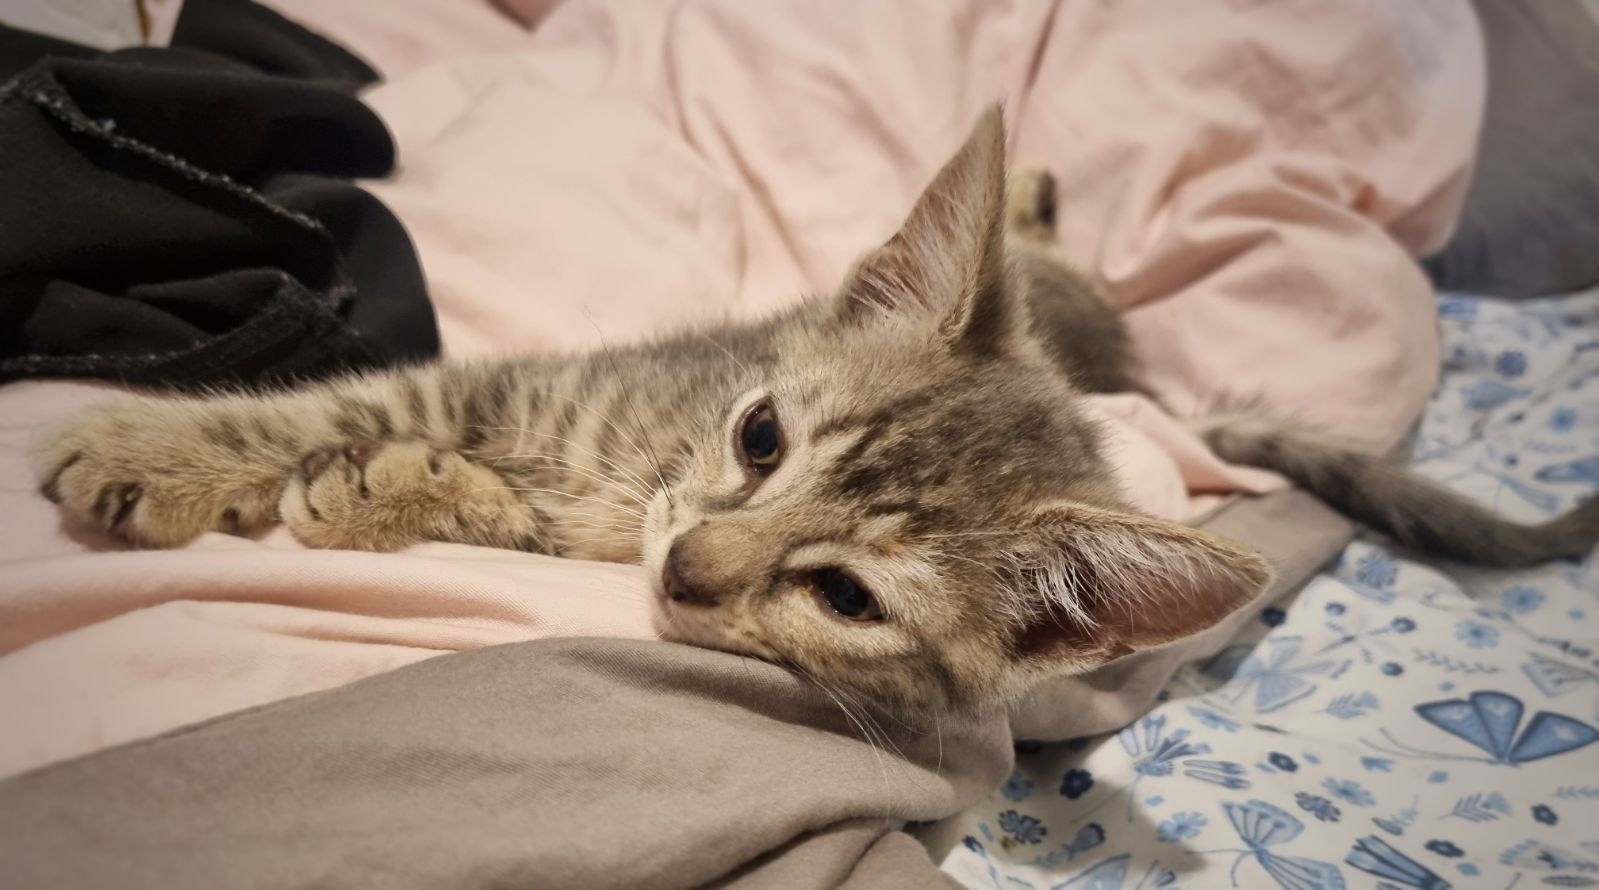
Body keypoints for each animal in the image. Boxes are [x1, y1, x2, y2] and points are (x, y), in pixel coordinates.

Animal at [31, 107, 1599, 721]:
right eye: (761, 440)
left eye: (844, 595)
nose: (685, 566)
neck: (646, 467)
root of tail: (1131, 373)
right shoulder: (509, 384)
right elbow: (350, 388)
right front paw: (152, 442)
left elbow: (471, 491)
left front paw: (389, 489)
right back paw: (1031, 192)